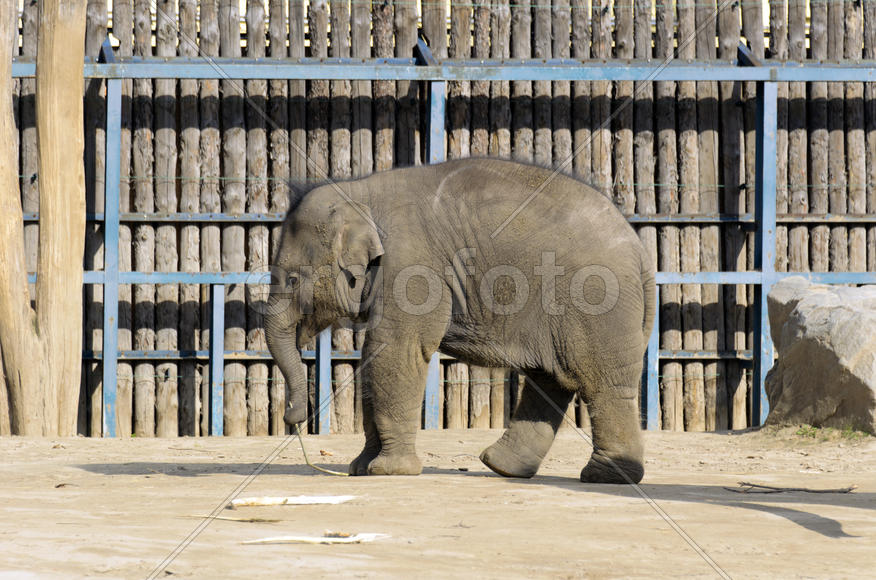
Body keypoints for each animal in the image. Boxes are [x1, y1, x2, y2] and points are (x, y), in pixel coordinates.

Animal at [266, 158, 656, 484]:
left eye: (293, 280)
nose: (293, 418)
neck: (358, 192)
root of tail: (640, 251)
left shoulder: (412, 266)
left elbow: (397, 349)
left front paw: (390, 471)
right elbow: (374, 356)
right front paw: (361, 469)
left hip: (597, 303)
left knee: (601, 384)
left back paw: (605, 477)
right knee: (551, 380)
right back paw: (502, 467)